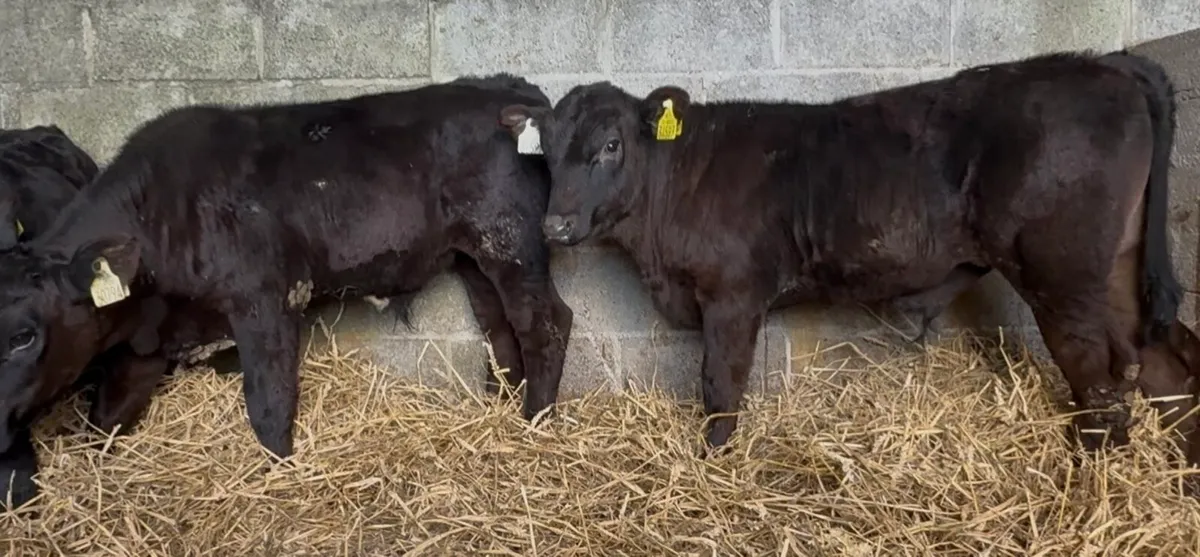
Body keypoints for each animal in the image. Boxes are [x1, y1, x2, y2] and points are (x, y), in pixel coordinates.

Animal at [0, 74, 574, 511]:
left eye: (24, 337)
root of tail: (508, 89)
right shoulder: (147, 345)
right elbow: (104, 419)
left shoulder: (267, 301)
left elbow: (268, 405)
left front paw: (279, 475)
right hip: (474, 258)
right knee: (501, 327)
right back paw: (502, 406)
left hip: (511, 242)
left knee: (546, 323)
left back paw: (534, 422)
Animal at [498, 50, 1200, 464]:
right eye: (546, 149)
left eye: (612, 144)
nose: (556, 223)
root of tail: (1107, 64)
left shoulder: (733, 295)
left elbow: (719, 384)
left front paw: (713, 462)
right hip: (1116, 266)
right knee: (1164, 360)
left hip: (1062, 272)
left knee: (1098, 375)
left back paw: (1091, 478)